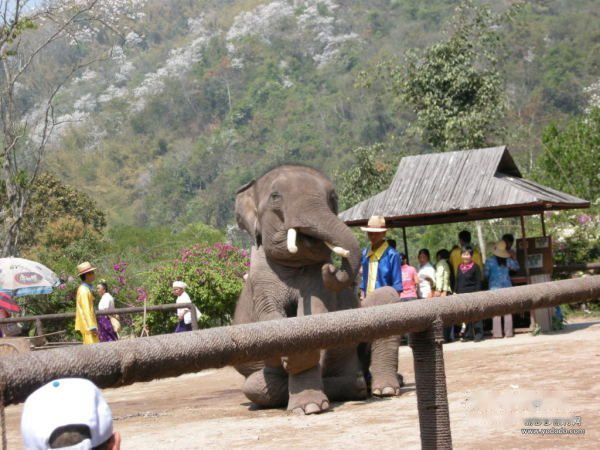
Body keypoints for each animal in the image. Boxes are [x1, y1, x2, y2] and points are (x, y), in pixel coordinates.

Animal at [233, 165, 402, 415]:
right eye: (275, 196)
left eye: (333, 199)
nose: (330, 267)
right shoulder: (260, 277)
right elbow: (270, 315)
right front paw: (310, 406)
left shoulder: (317, 280)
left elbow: (314, 312)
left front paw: (310, 407)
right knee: (254, 386)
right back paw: (359, 384)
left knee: (387, 297)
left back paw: (381, 387)